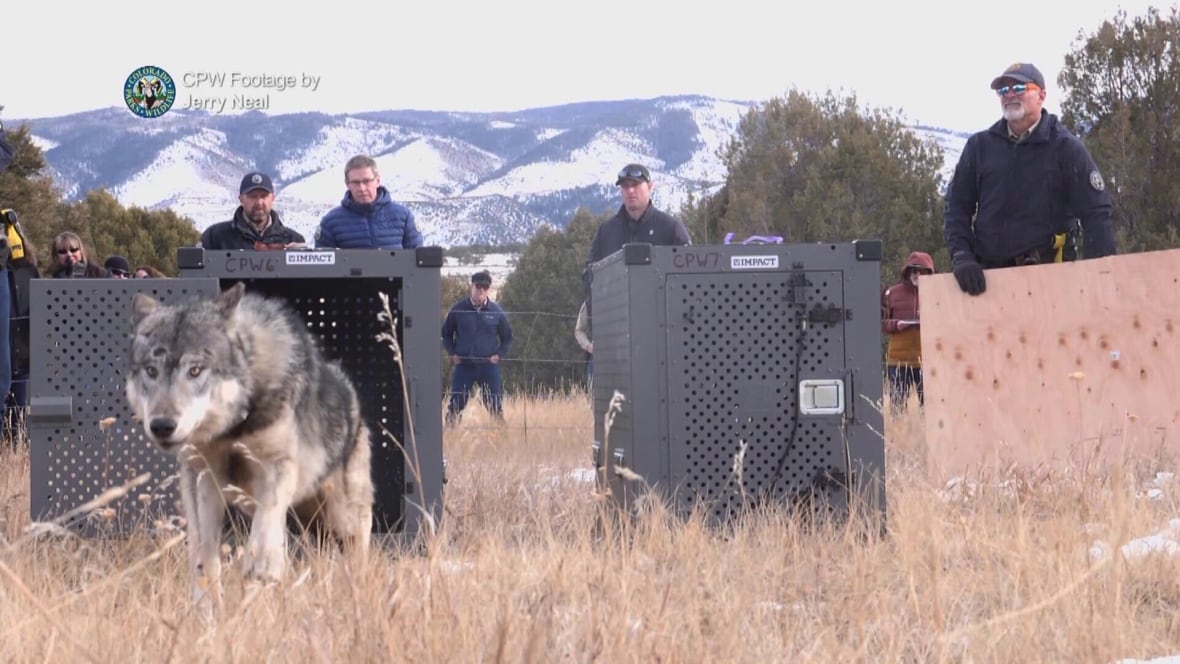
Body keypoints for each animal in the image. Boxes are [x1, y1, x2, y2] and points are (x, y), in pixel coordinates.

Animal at [128, 283, 372, 608]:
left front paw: (262, 566)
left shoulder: (278, 463)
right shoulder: (201, 475)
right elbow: (203, 550)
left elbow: (267, 517)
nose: (162, 426)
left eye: (195, 370)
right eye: (151, 371)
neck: (233, 428)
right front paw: (206, 604)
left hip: (342, 519)